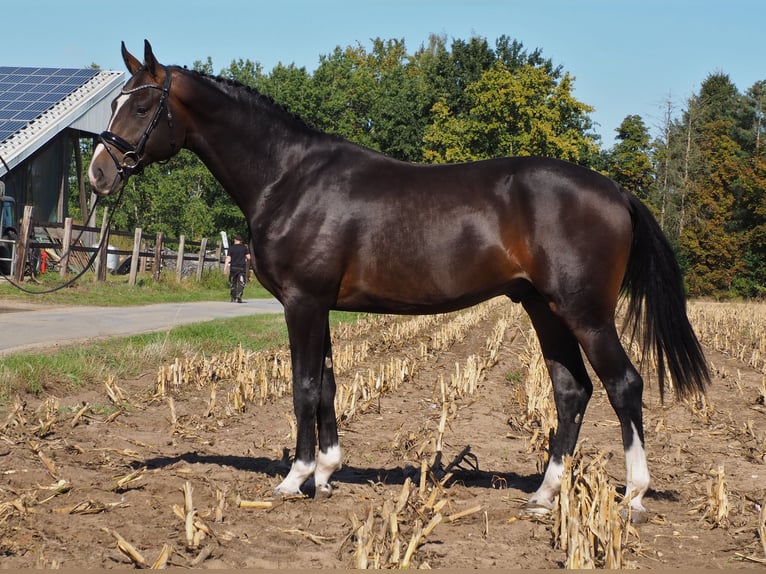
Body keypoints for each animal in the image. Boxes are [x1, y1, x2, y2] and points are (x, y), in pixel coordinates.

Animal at [87, 39, 712, 516]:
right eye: (115, 101)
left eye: (141, 107)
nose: (98, 175)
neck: (289, 178)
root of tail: (616, 191)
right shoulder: (319, 306)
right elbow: (328, 385)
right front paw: (327, 473)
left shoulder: (303, 303)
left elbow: (303, 386)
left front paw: (295, 478)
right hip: (545, 310)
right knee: (571, 390)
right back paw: (543, 493)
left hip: (585, 313)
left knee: (623, 385)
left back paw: (633, 495)